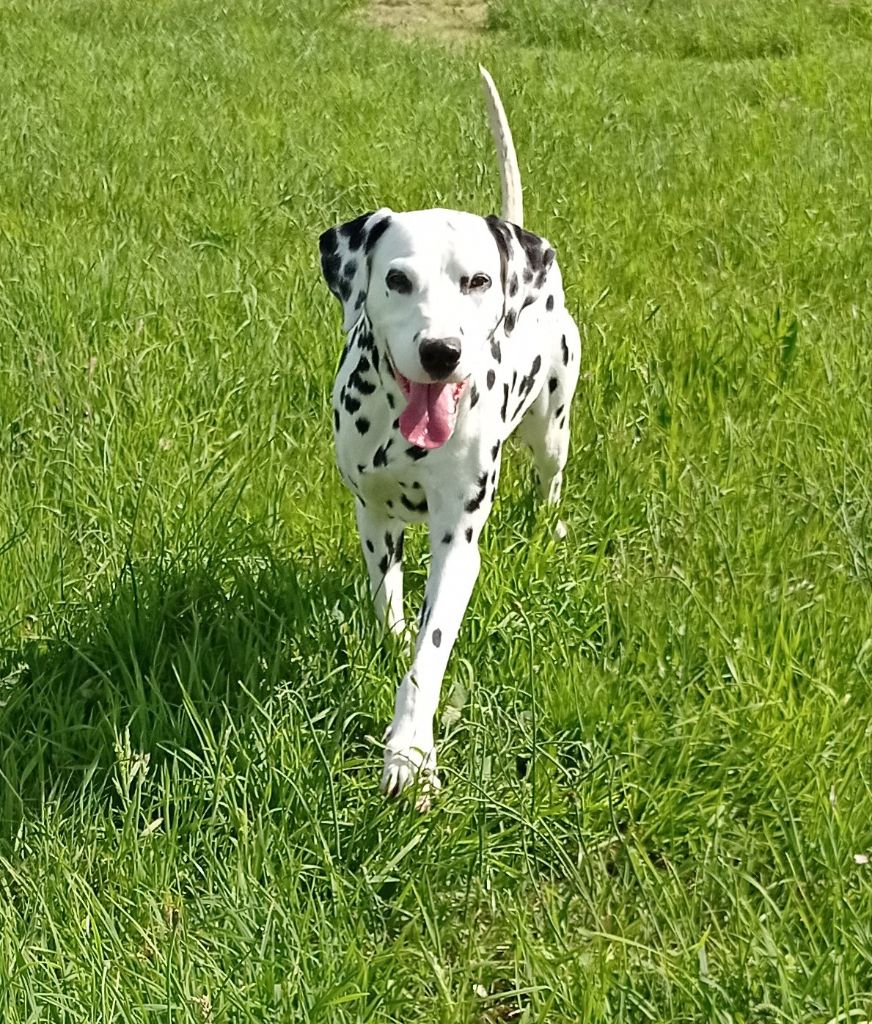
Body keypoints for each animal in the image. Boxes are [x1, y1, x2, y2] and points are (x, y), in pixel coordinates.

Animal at [319, 66, 577, 806]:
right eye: (397, 278)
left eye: (477, 280)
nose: (441, 351)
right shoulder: (372, 515)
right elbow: (389, 601)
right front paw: (390, 637)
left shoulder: (456, 546)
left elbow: (427, 659)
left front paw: (409, 752)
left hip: (553, 428)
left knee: (549, 479)